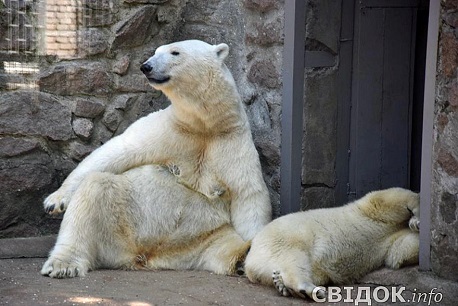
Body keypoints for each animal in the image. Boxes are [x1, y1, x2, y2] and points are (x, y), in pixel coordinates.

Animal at [40, 39, 272, 278]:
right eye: (155, 51)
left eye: (175, 52)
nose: (146, 66)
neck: (205, 126)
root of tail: (149, 256)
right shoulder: (169, 132)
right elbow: (115, 151)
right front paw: (55, 200)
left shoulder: (231, 143)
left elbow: (248, 195)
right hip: (120, 219)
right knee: (93, 192)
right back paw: (63, 264)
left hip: (206, 236)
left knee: (224, 245)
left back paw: (242, 256)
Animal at [245, 188, 420, 300]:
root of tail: (250, 262)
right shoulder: (371, 213)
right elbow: (387, 199)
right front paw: (417, 217)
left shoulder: (391, 240)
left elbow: (399, 251)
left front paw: (414, 225)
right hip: (285, 237)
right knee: (295, 259)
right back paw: (310, 290)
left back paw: (281, 283)